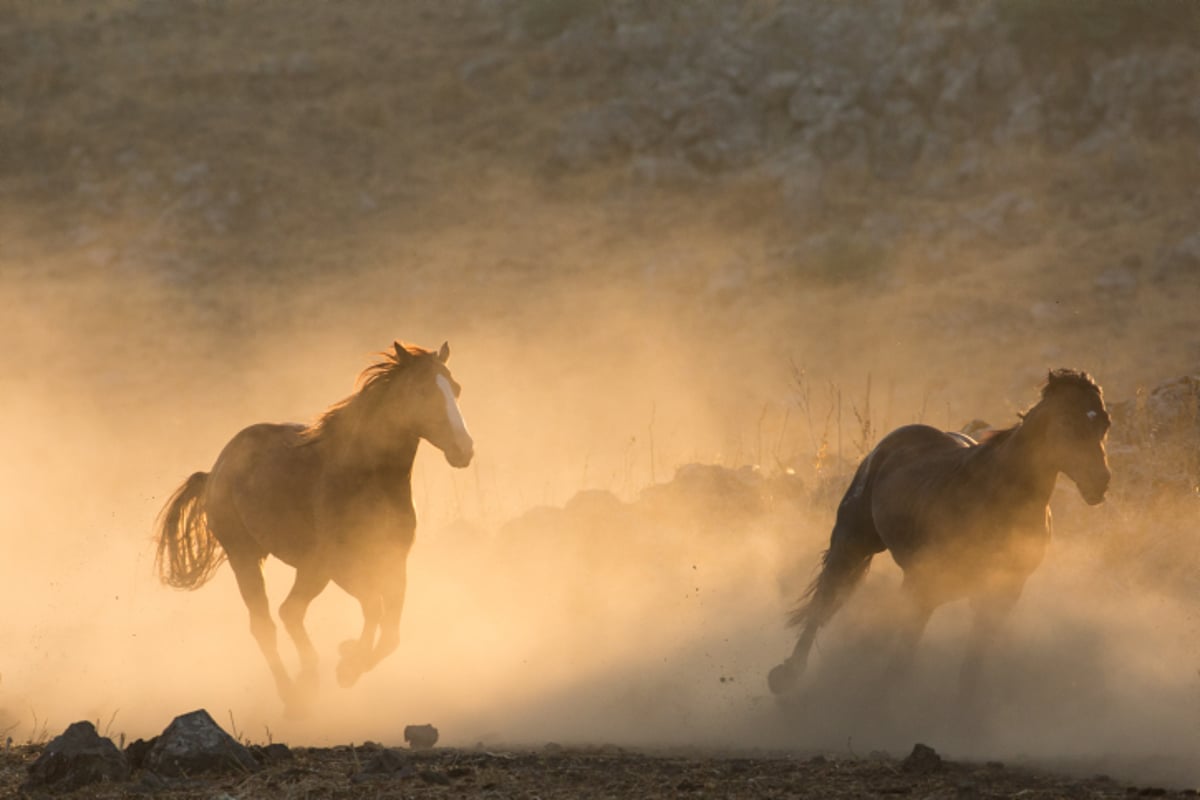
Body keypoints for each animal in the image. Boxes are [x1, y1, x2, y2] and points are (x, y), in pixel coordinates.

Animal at [157, 340, 475, 710]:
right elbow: (373, 608)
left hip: (306, 568)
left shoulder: (392, 563)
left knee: (292, 613)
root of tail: (214, 471)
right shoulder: (337, 566)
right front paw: (347, 665)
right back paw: (296, 694)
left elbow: (390, 631)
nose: (464, 449)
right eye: (423, 390)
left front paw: (349, 660)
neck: (366, 478)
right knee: (270, 621)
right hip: (249, 557)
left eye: (456, 388)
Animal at [768, 369, 1113, 705]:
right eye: (1066, 421)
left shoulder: (1000, 593)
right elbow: (901, 658)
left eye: (1104, 423)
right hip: (853, 543)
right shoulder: (924, 587)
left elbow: (970, 669)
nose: (1100, 482)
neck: (995, 495)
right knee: (824, 601)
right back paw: (786, 676)